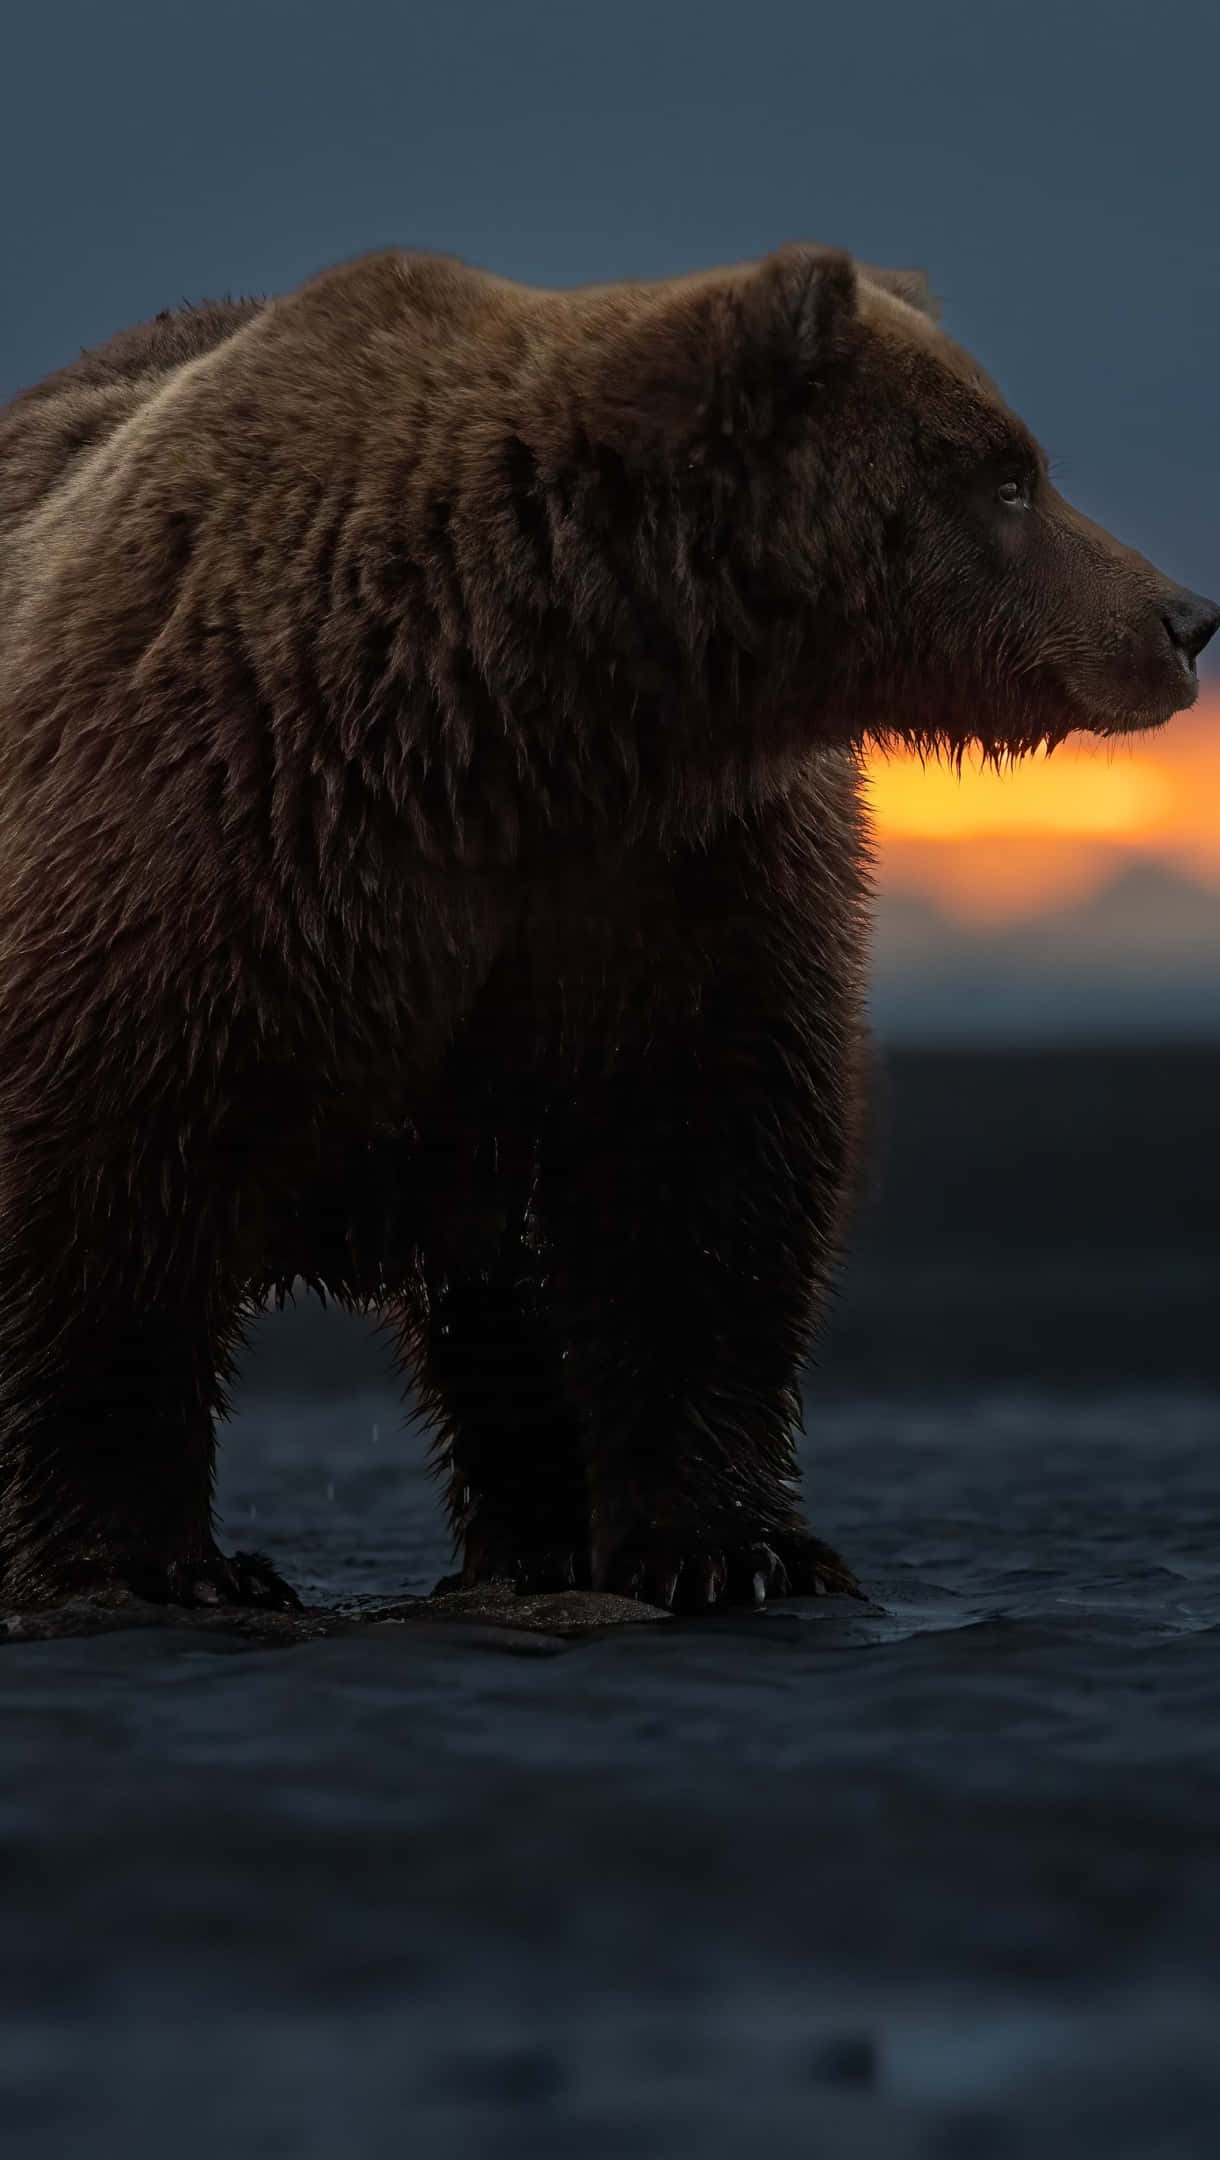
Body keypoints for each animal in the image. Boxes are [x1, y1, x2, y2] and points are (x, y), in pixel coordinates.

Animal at [0, 243, 1214, 1615]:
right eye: (1006, 475)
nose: (1182, 618)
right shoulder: (217, 833)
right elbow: (116, 1191)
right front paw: (159, 1565)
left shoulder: (671, 884)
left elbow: (699, 1177)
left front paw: (731, 1549)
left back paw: (535, 1536)